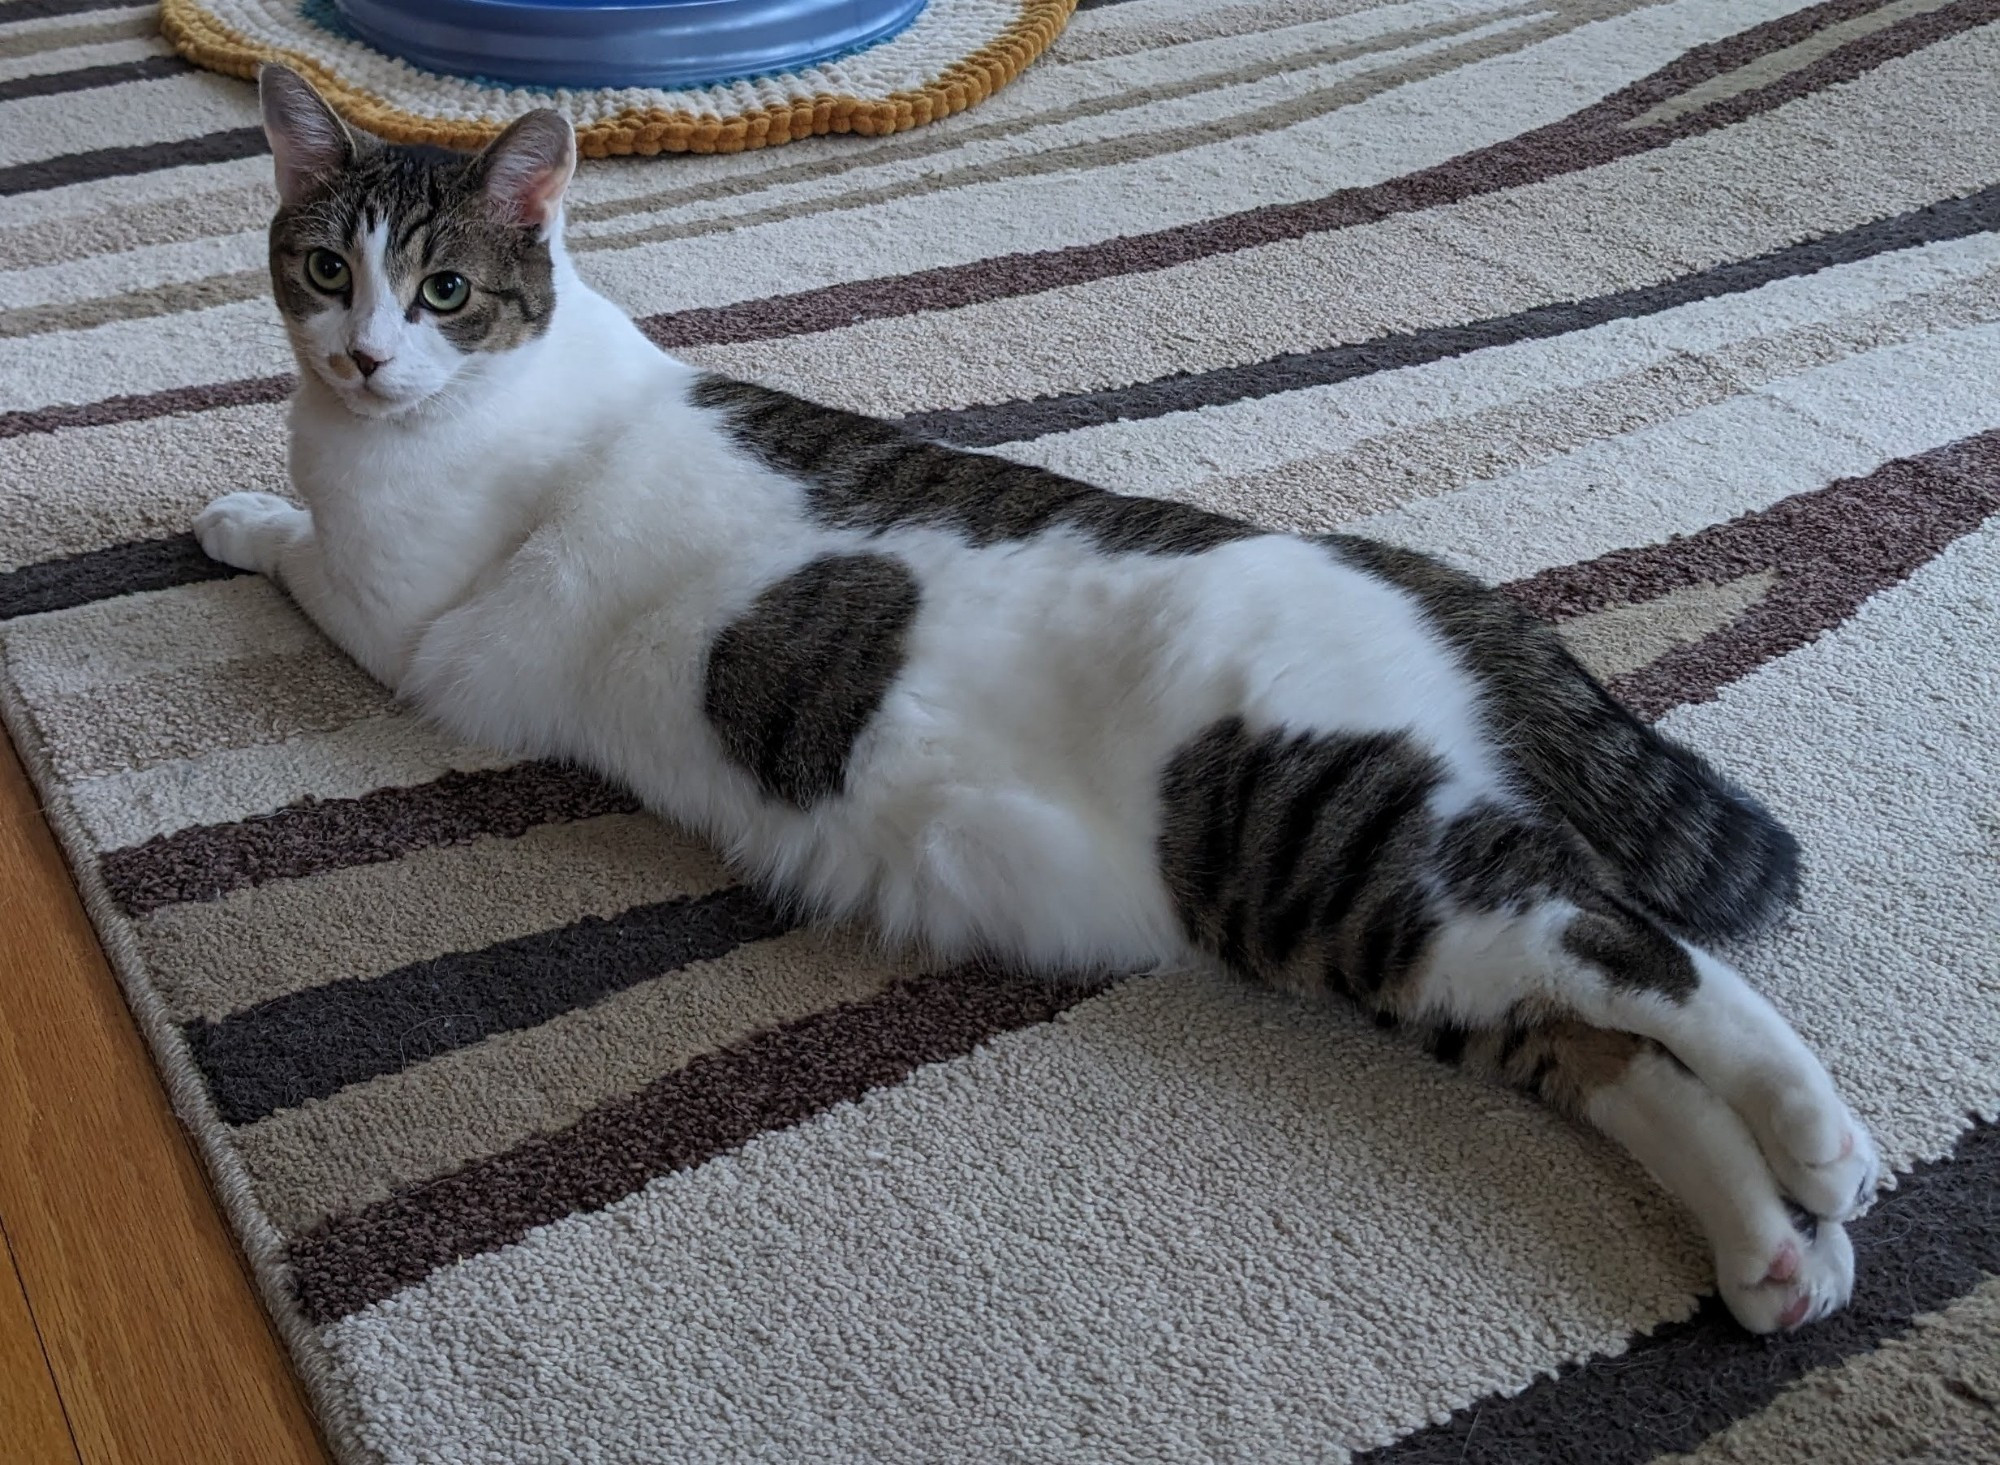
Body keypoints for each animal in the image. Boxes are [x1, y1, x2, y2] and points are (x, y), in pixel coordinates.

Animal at [195, 63, 1880, 1336]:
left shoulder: (395, 617)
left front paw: (229, 514)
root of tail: (1407, 570)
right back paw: (1772, 1246)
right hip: (1376, 933)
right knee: (1598, 1038)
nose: (364, 357)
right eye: (328, 268)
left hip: (1327, 827)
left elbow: (291, 547)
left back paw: (1824, 1137)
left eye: (446, 289)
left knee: (1634, 945)